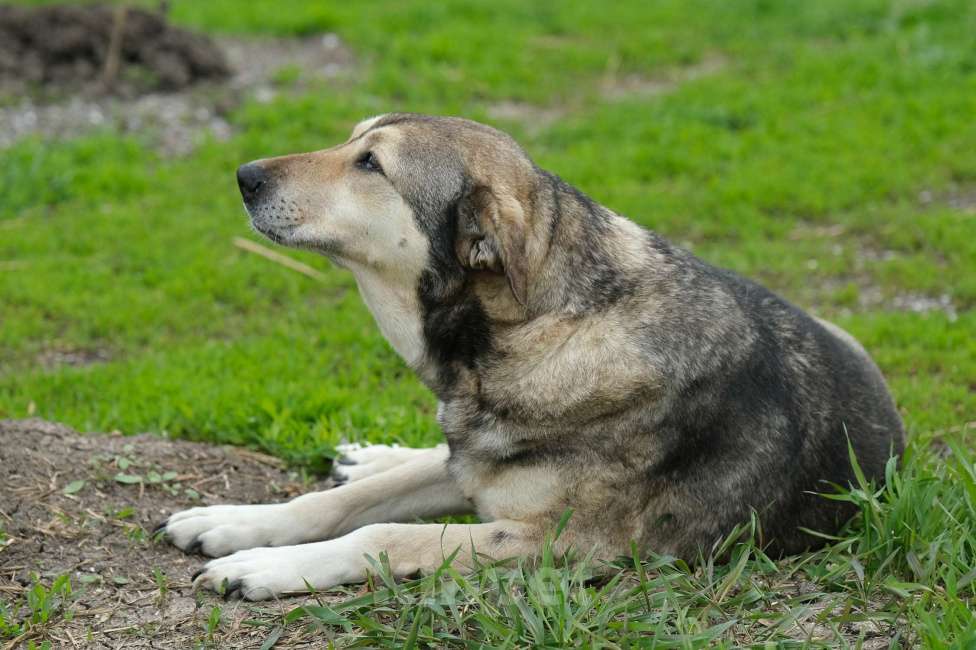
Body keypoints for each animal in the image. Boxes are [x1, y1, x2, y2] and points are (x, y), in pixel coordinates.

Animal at [156, 114, 904, 600]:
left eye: (371, 163)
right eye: (348, 139)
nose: (244, 175)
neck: (537, 330)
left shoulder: (570, 543)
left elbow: (387, 534)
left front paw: (264, 567)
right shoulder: (480, 467)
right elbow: (344, 502)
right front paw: (236, 524)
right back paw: (372, 454)